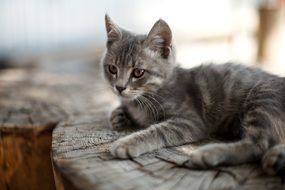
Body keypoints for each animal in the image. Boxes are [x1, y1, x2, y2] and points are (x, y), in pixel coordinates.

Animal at [101, 14, 284, 175]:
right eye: (112, 69)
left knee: (258, 144)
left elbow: (158, 130)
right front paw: (118, 116)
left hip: (264, 97)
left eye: (138, 72)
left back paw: (208, 154)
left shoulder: (190, 121)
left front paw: (128, 142)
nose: (119, 87)